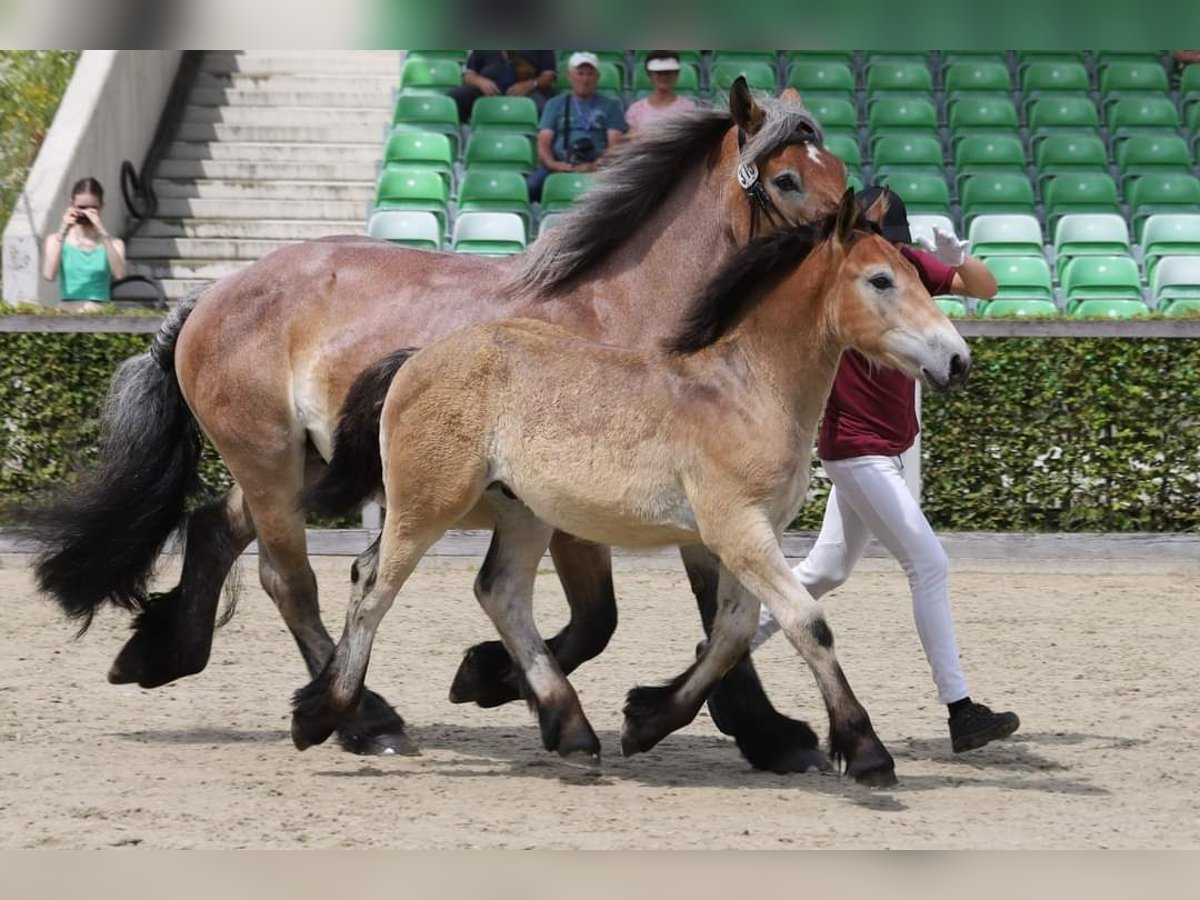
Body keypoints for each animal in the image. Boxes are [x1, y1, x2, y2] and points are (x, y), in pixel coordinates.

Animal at [32, 81, 849, 777]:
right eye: (785, 180)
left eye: (838, 169)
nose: (861, 234)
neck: (633, 317)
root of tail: (211, 294)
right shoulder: (593, 512)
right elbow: (600, 620)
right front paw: (496, 680)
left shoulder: (698, 505)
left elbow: (711, 616)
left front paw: (764, 734)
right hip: (270, 463)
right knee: (289, 580)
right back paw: (364, 720)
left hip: (300, 470)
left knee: (215, 529)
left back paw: (162, 652)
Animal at [292, 192, 974, 787]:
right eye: (881, 280)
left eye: (920, 276)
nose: (958, 360)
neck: (746, 390)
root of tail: (415, 358)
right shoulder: (738, 530)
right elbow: (807, 623)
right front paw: (866, 753)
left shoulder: (746, 538)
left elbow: (732, 631)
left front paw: (646, 721)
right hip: (428, 505)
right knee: (373, 586)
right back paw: (324, 716)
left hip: (522, 514)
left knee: (500, 593)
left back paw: (572, 733)